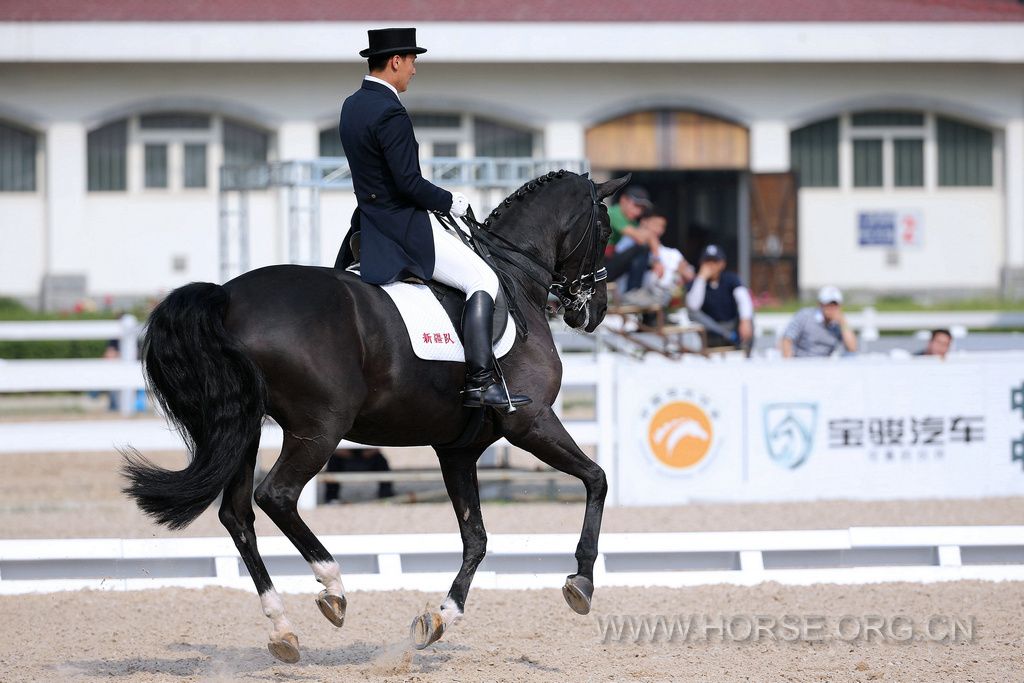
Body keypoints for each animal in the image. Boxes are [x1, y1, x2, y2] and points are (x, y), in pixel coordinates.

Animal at [121, 170, 630, 663]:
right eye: (605, 230)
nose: (596, 311)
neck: (515, 279)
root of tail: (227, 297)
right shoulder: (531, 422)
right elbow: (597, 479)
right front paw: (581, 583)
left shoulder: (458, 449)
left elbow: (477, 537)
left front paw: (442, 616)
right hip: (319, 428)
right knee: (276, 496)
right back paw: (333, 587)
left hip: (245, 427)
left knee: (237, 513)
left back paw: (283, 628)